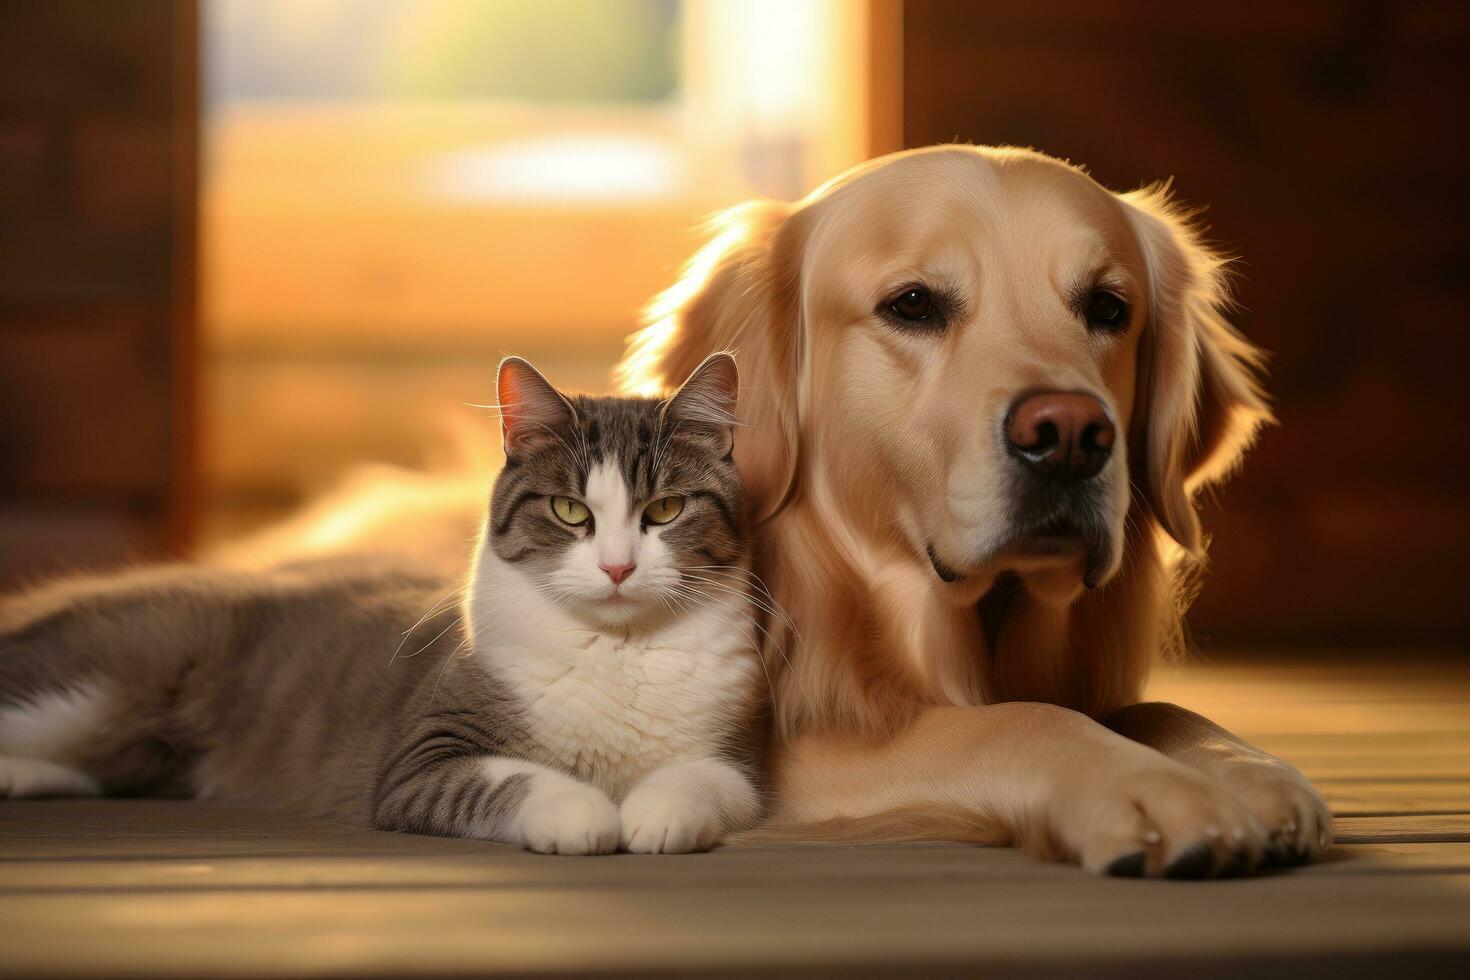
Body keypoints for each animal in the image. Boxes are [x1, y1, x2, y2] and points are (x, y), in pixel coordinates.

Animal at [2, 357, 770, 852]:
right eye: (570, 510)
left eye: (665, 509)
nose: (617, 567)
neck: (616, 651)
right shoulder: (423, 757)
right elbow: (524, 783)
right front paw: (591, 817)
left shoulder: (736, 757)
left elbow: (700, 783)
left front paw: (652, 817)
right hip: (82, 692)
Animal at [620, 141, 1334, 875]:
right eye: (912, 304)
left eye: (1108, 309)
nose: (1070, 436)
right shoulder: (781, 756)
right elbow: (1012, 721)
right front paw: (1151, 787)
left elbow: (1157, 709)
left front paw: (1244, 768)